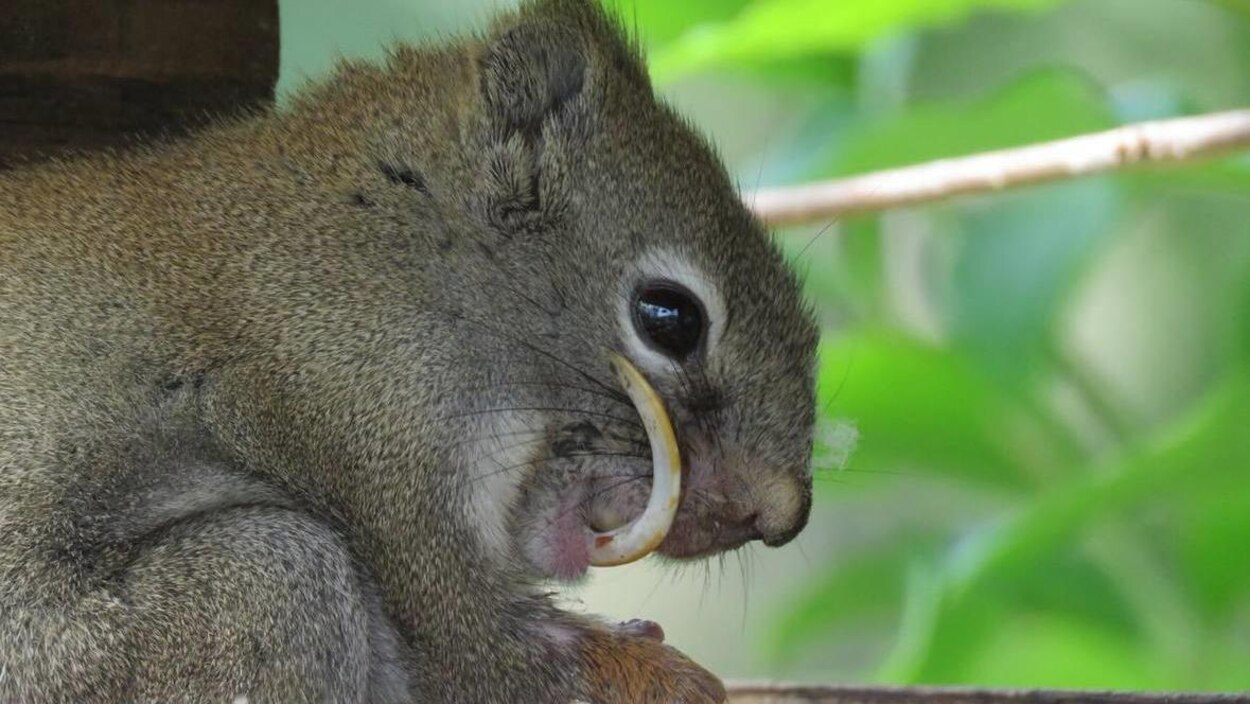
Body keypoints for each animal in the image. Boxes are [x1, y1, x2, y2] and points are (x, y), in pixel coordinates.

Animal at [0, 2, 820, 700]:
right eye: (669, 318)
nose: (780, 513)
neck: (408, 259)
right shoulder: (361, 412)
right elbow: (482, 650)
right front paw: (666, 677)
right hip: (259, 588)